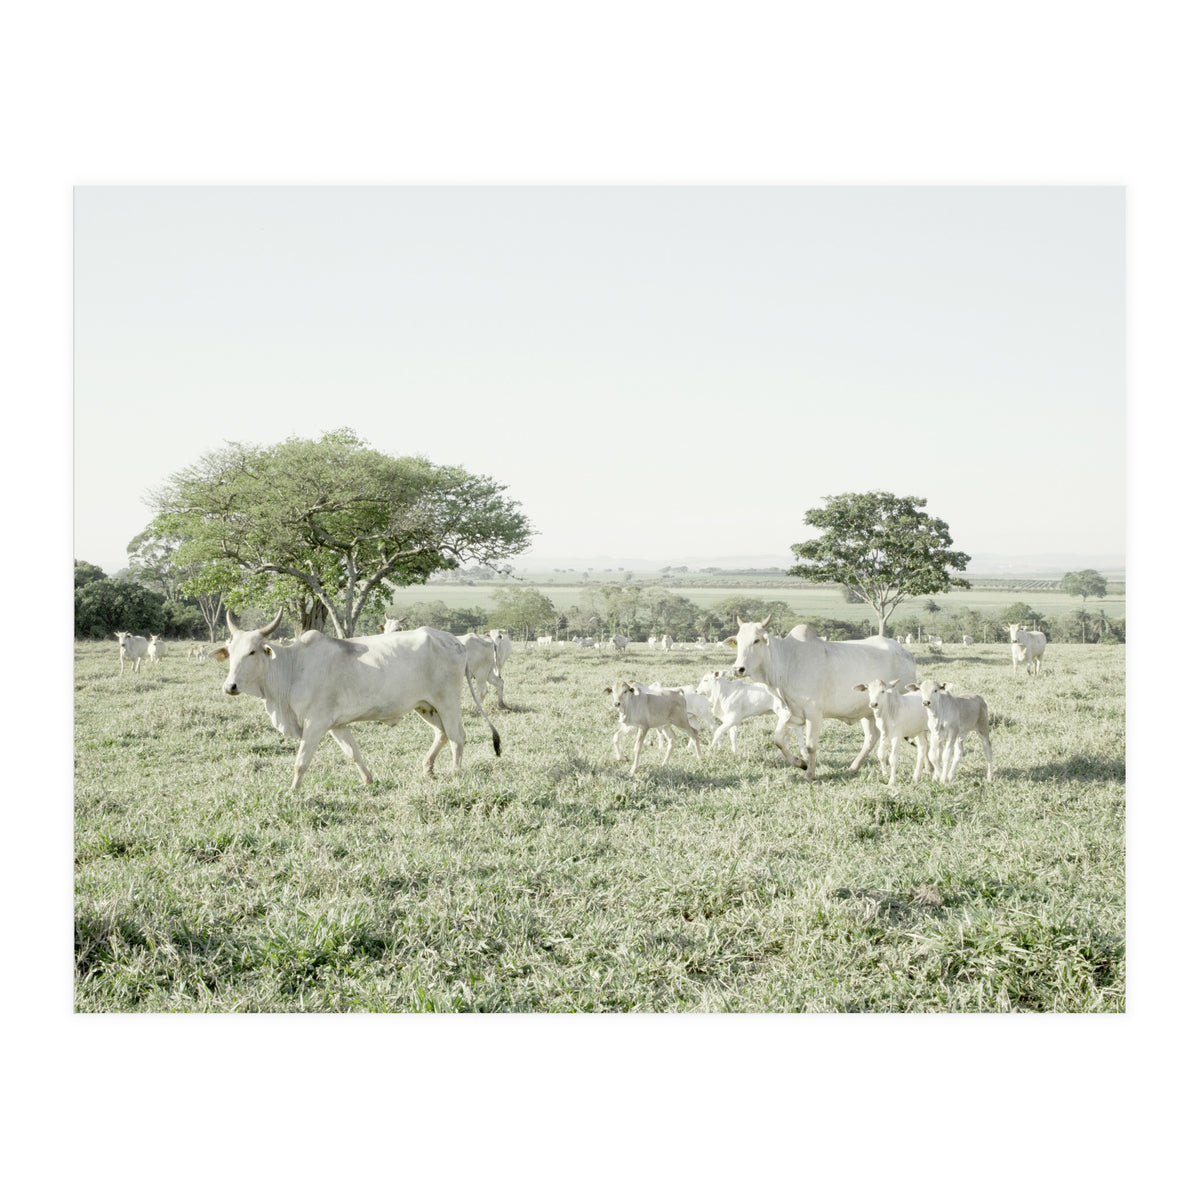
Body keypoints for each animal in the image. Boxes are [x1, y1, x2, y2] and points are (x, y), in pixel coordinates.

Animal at [213, 610, 500, 791]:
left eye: (252, 652)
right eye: (231, 653)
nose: (230, 686)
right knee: (442, 734)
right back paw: (428, 769)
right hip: (425, 705)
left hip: (448, 701)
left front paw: (292, 791)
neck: (292, 667)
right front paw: (368, 781)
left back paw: (455, 773)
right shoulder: (337, 725)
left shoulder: (315, 724)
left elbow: (301, 762)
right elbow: (353, 754)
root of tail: (454, 641)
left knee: (457, 736)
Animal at [724, 615, 917, 780]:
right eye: (738, 641)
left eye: (756, 640)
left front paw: (810, 774)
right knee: (871, 738)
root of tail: (907, 654)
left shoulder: (814, 713)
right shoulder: (790, 713)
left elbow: (810, 745)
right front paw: (800, 763)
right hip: (869, 712)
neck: (786, 661)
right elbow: (778, 739)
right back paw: (853, 767)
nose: (738, 669)